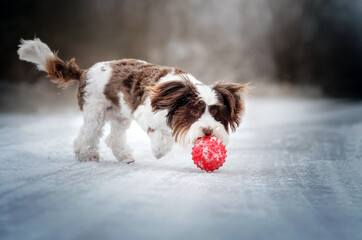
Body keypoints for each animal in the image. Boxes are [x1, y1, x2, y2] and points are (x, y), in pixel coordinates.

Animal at [18, 38, 247, 164]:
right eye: (194, 111)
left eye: (215, 113)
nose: (208, 131)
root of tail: (85, 72)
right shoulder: (145, 112)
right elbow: (161, 136)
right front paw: (159, 150)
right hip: (95, 110)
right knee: (88, 134)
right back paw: (86, 154)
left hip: (119, 115)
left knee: (113, 138)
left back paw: (124, 156)